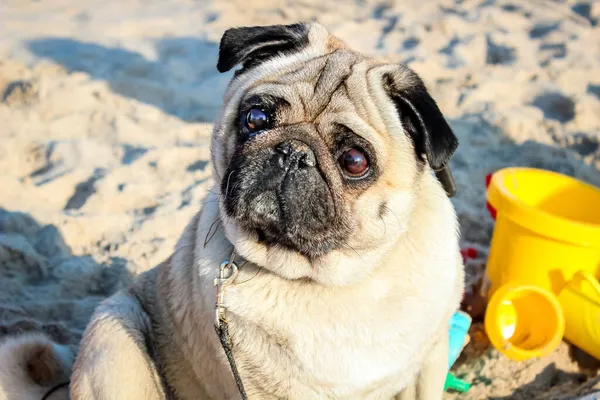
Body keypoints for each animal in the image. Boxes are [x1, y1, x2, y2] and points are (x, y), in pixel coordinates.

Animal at [70, 22, 464, 400]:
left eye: (354, 161)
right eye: (256, 118)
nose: (293, 152)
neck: (335, 282)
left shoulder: (429, 363)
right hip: (113, 333)